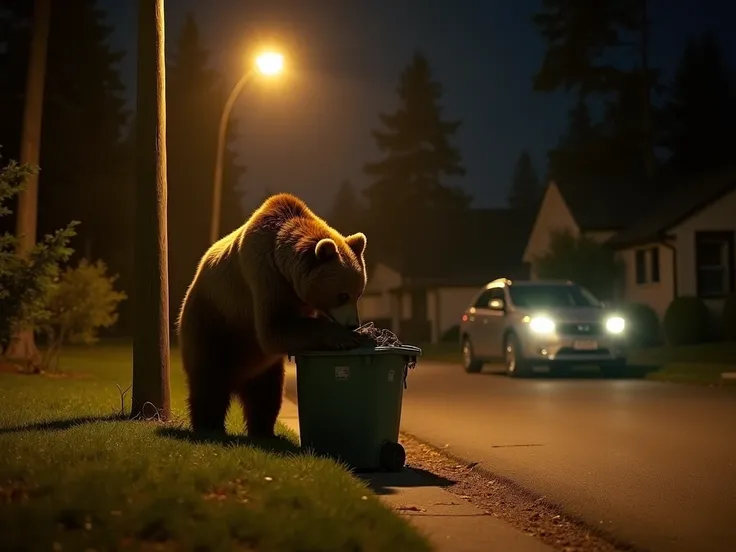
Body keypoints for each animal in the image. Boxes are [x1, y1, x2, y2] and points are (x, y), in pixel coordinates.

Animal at [177, 192, 374, 438]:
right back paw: (210, 426)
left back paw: (263, 430)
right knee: (210, 379)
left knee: (265, 392)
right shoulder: (264, 278)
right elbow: (274, 329)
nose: (352, 324)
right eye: (342, 295)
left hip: (260, 364)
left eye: (358, 293)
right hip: (213, 320)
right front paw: (346, 337)